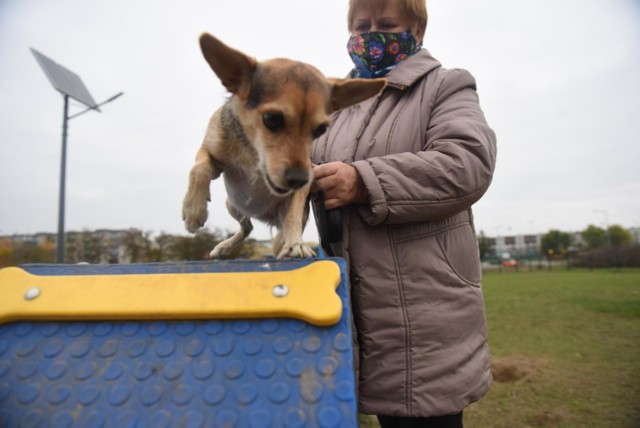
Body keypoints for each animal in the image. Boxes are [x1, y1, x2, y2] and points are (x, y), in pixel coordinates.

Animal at [182, 34, 388, 258]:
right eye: (272, 119)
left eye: (321, 130)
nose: (299, 179)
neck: (252, 153)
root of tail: (267, 219)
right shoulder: (211, 155)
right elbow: (199, 168)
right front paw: (194, 210)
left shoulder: (303, 186)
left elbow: (293, 215)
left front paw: (296, 244)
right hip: (233, 205)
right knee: (247, 226)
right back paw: (224, 245)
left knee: (262, 228)